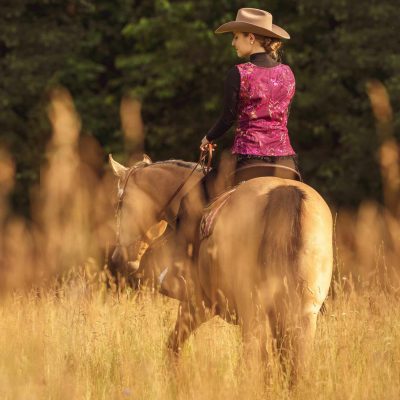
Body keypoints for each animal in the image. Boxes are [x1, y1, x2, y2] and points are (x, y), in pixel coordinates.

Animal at [110, 153, 334, 378]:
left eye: (120, 203)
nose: (119, 257)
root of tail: (284, 190)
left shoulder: (197, 304)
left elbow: (173, 347)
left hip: (252, 312)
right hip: (302, 313)